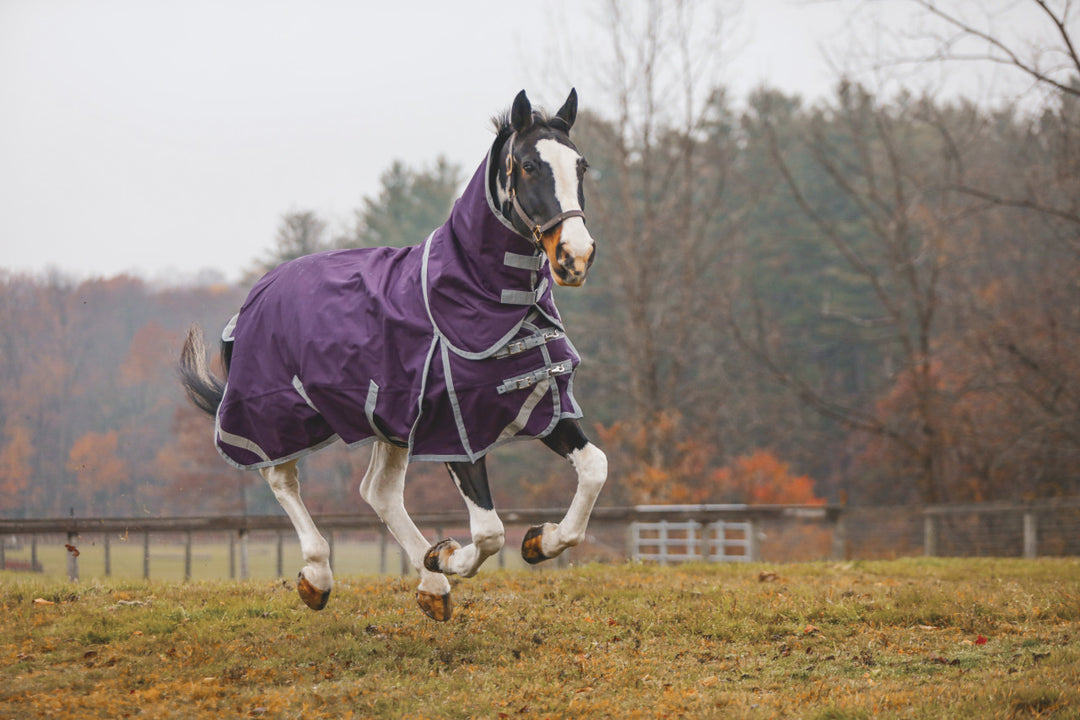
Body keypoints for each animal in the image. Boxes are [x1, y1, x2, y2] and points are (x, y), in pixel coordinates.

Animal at [181, 88, 613, 621]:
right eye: (530, 165)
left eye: (581, 165)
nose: (576, 256)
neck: (485, 298)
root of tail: (257, 294)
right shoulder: (455, 428)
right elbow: (489, 533)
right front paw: (447, 554)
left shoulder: (540, 404)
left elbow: (594, 469)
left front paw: (537, 542)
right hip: (276, 414)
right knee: (279, 477)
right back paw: (318, 577)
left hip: (387, 421)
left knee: (378, 493)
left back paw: (432, 588)